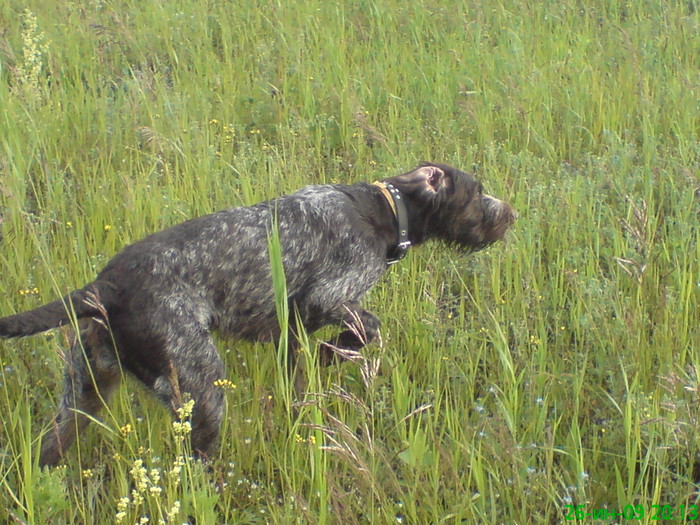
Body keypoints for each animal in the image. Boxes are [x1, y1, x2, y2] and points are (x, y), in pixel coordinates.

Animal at [0, 162, 516, 464]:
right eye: (478, 192)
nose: (510, 215)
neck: (385, 209)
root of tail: (104, 285)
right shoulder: (328, 298)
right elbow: (368, 328)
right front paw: (334, 353)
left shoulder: (292, 331)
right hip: (202, 390)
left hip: (84, 395)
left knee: (50, 452)